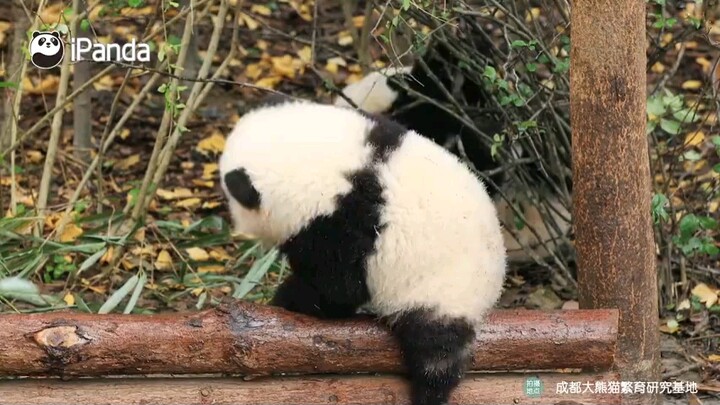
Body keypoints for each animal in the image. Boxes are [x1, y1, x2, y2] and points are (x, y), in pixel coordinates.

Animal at [219, 99, 507, 405]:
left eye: (231, 197)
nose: (235, 225)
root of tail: (493, 287)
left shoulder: (345, 226)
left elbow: (337, 289)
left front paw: (287, 300)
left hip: (443, 291)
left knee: (436, 354)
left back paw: (429, 391)